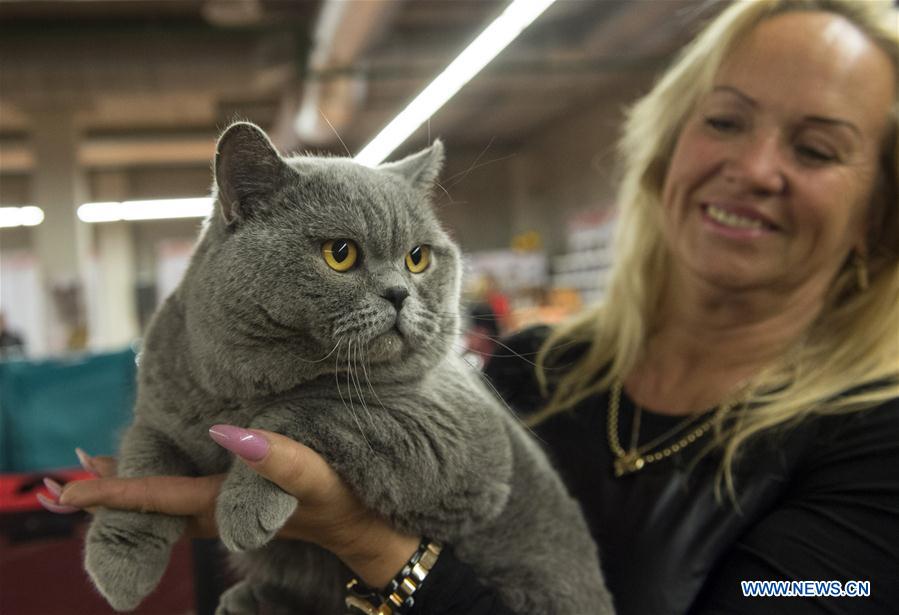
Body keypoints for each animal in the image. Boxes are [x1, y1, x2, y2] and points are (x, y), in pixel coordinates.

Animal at [84, 121, 616, 615]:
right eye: (340, 254)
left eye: (417, 258)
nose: (399, 293)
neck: (246, 388)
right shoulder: (159, 413)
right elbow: (141, 466)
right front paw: (120, 567)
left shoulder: (459, 433)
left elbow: (311, 410)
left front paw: (244, 504)